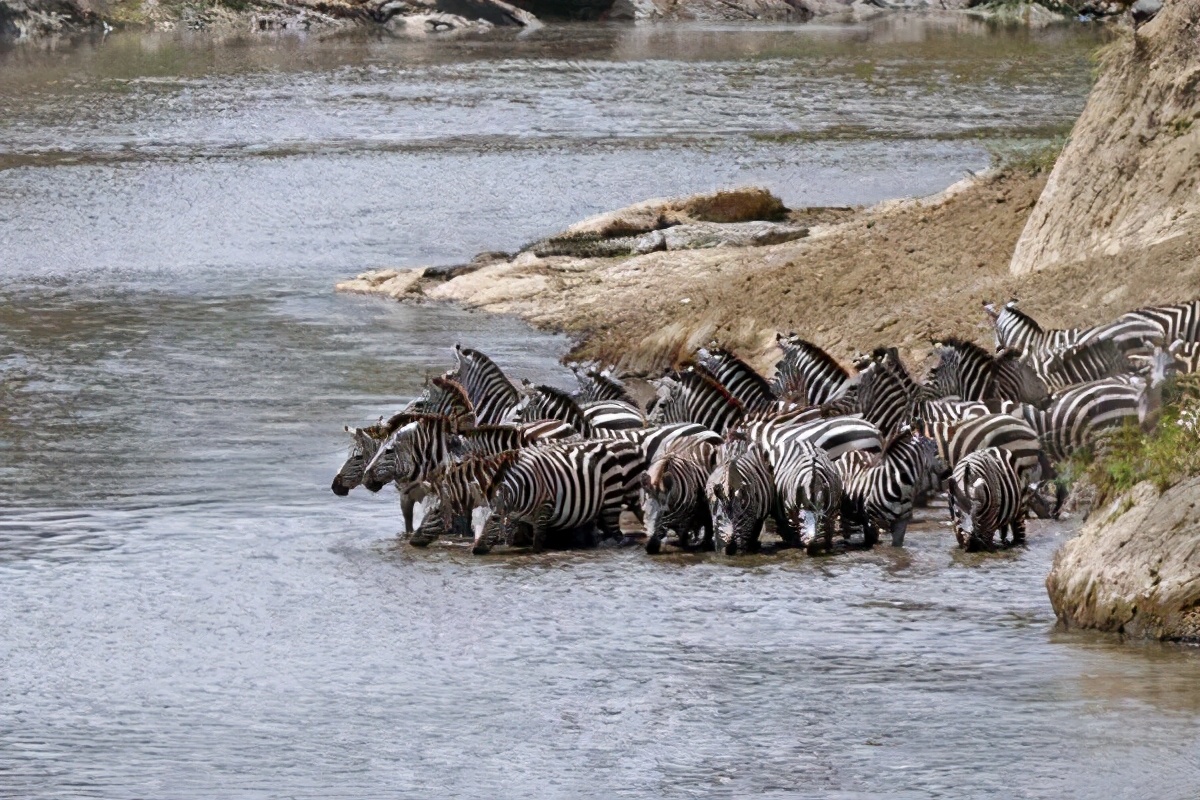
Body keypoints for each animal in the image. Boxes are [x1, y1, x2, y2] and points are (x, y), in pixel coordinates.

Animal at [468, 438, 648, 556]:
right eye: (472, 521)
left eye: (494, 519)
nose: (476, 550)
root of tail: (632, 444)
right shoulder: (514, 516)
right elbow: (509, 535)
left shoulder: (544, 508)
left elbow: (538, 541)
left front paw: (536, 553)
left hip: (615, 499)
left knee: (619, 533)